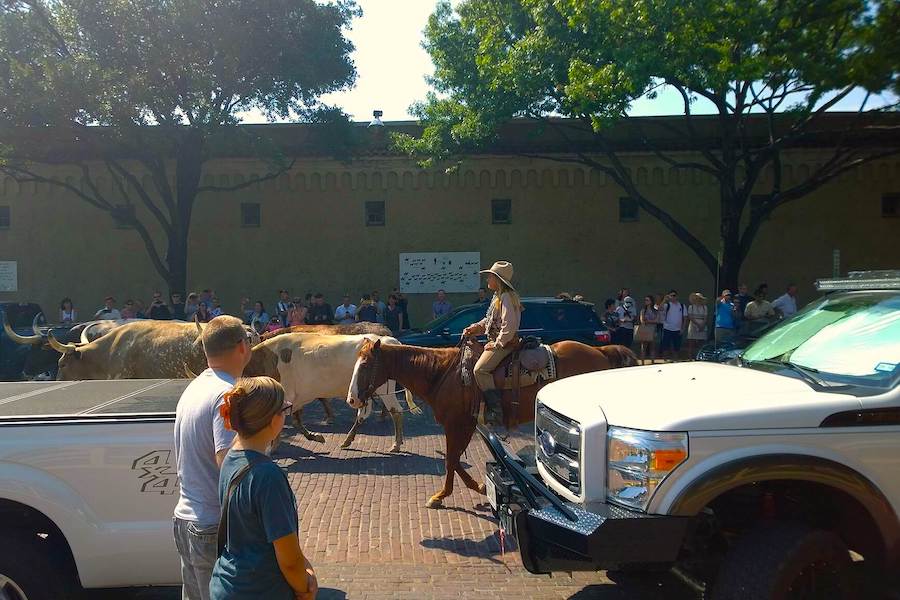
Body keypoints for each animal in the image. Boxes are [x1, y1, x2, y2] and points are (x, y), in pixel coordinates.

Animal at [348, 338, 636, 506]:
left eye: (366, 364)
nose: (352, 399)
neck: (443, 374)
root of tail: (600, 351)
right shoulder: (466, 425)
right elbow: (453, 459)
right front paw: (474, 486)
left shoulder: (458, 424)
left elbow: (451, 459)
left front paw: (442, 495)